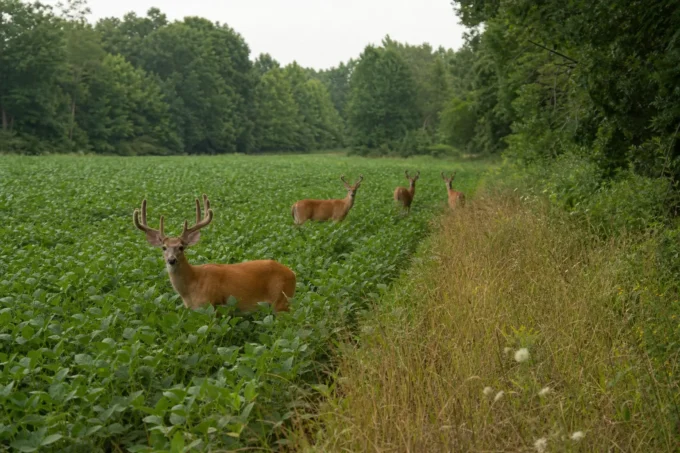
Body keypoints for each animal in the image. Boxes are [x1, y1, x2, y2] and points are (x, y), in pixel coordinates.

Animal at [133, 194, 296, 313]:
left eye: (181, 247)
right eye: (164, 247)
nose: (171, 260)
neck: (192, 287)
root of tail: (293, 273)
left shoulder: (211, 305)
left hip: (282, 300)